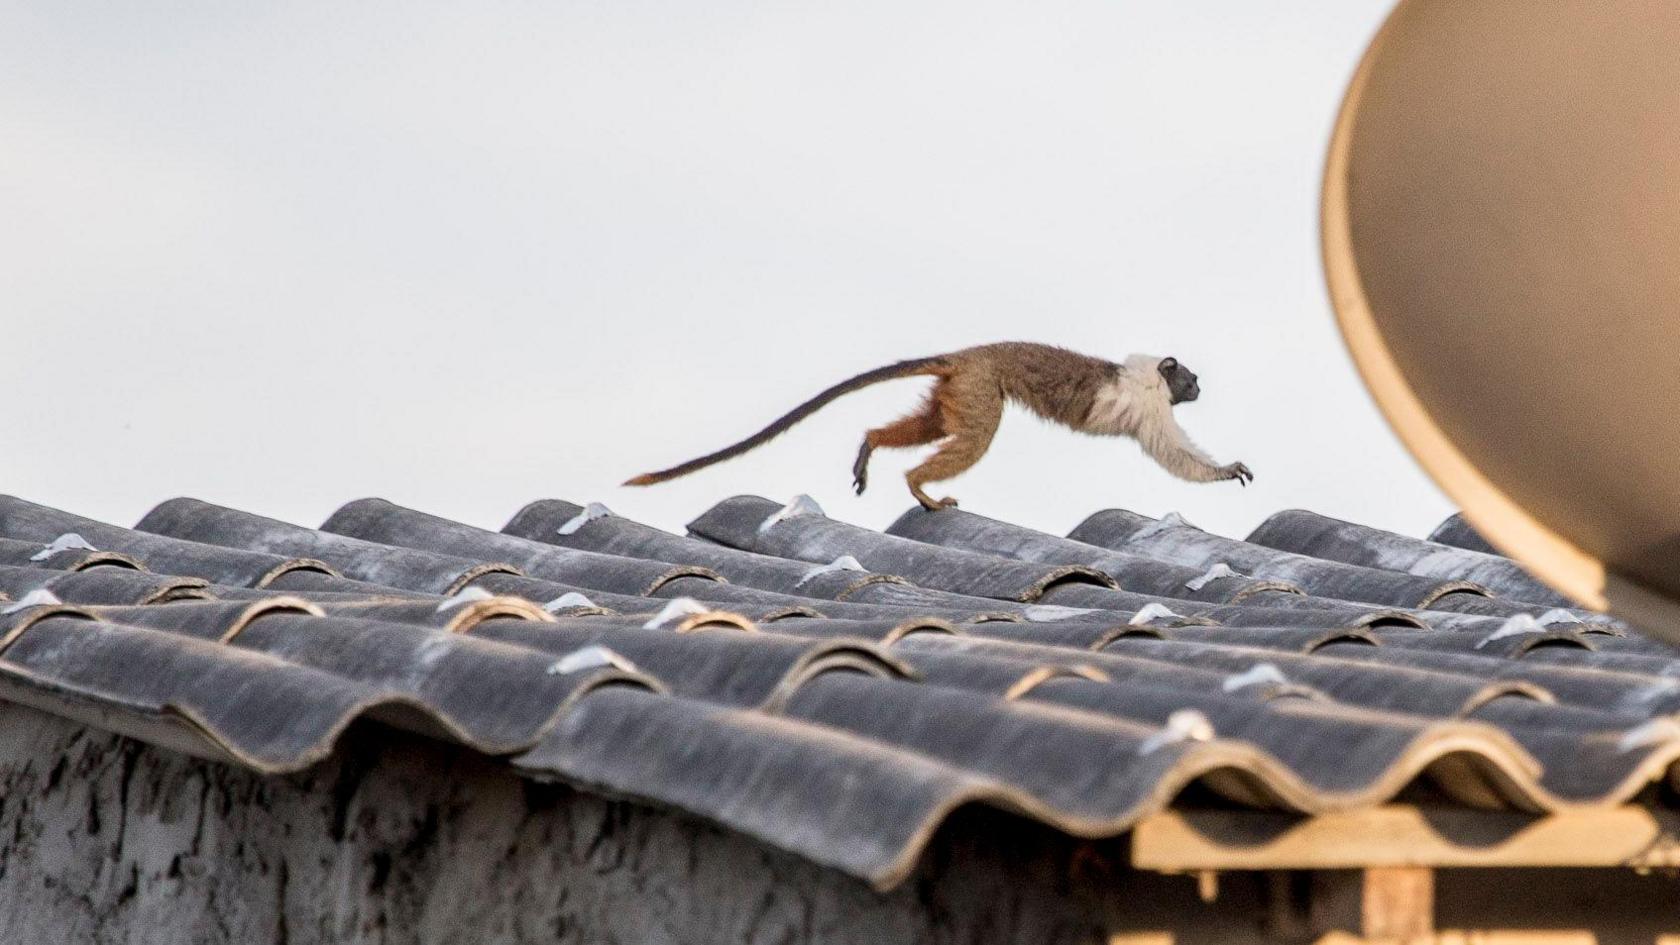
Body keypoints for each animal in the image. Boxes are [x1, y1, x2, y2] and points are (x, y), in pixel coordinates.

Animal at [624, 339, 1256, 507]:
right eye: (1190, 379)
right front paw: (1226, 470)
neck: (1151, 376)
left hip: (958, 388)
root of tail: (967, 354)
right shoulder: (1152, 406)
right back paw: (919, 487)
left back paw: (873, 448)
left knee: (935, 425)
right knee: (977, 434)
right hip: (980, 386)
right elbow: (1174, 452)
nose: (1198, 387)